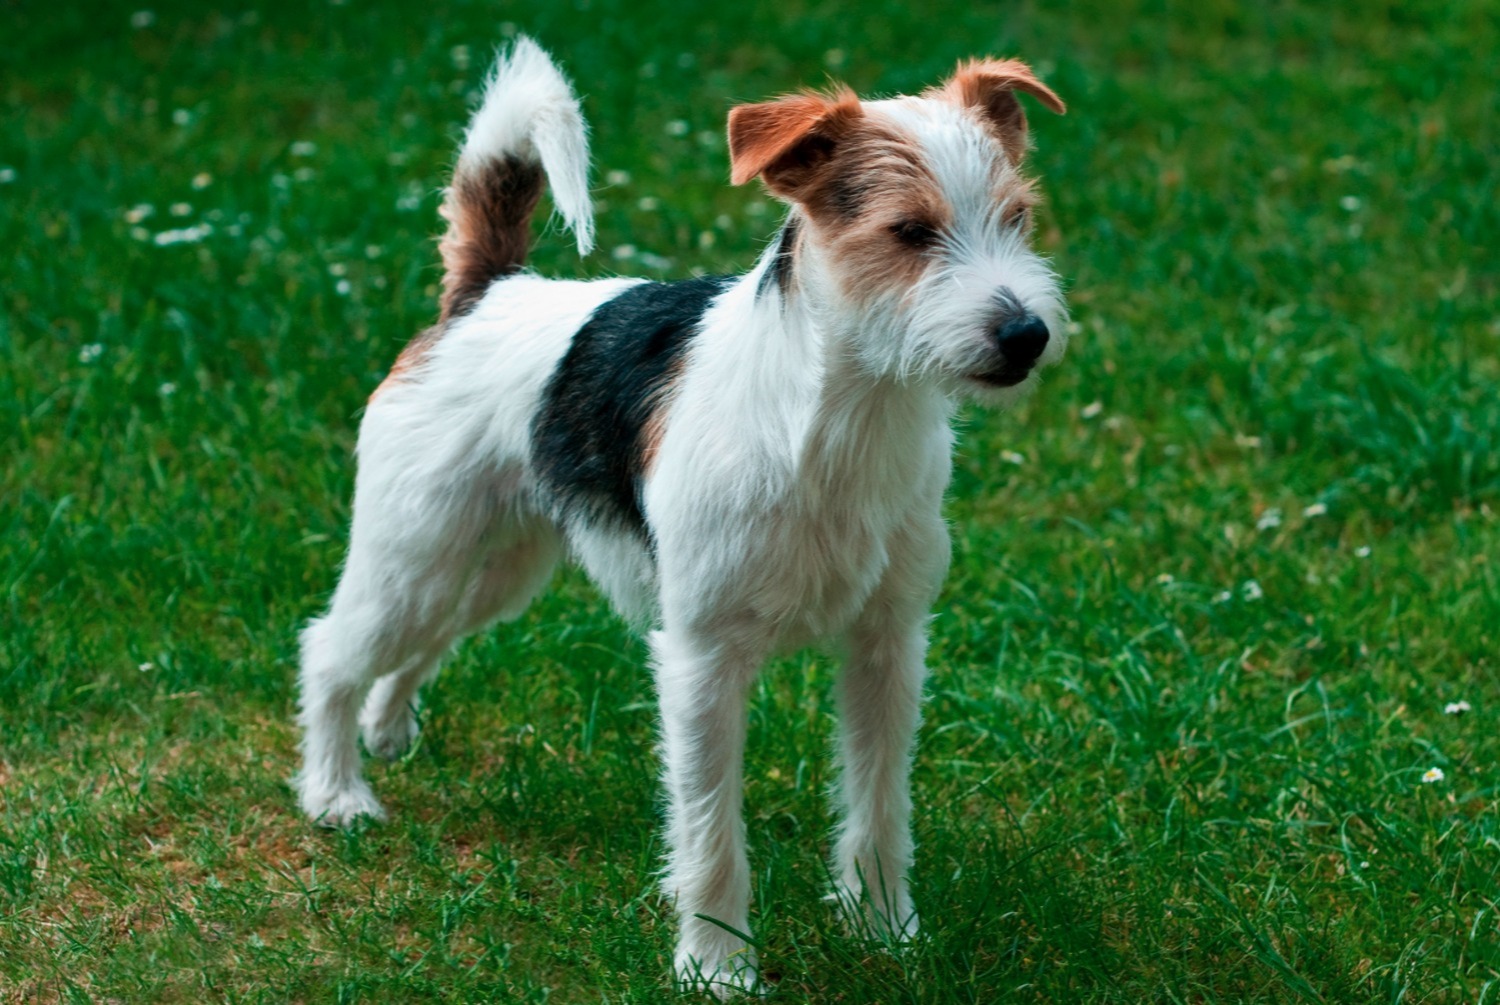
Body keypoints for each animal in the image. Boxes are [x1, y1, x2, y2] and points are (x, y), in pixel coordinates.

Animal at [292, 39, 1068, 1002]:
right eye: (910, 232)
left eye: (1018, 218)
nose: (1027, 333)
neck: (838, 422)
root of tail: (485, 294)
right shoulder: (702, 661)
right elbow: (709, 834)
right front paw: (717, 967)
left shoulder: (887, 645)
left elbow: (879, 806)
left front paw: (887, 933)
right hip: (414, 553)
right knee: (331, 649)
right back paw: (336, 794)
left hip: (493, 569)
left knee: (417, 646)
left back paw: (387, 731)